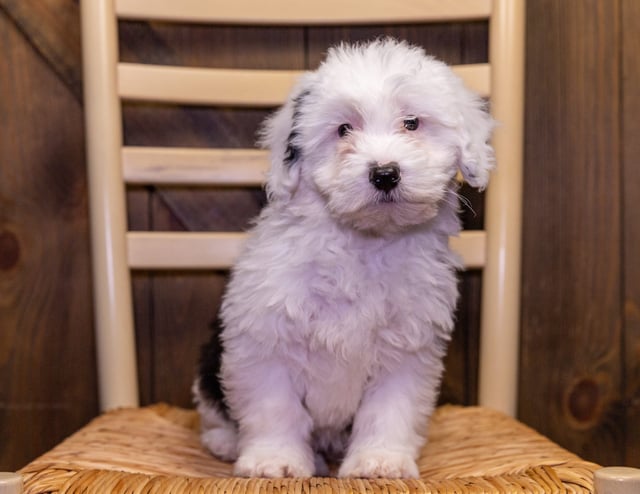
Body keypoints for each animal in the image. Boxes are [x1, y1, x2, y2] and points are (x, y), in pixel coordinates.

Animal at [195, 37, 496, 478]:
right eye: (343, 129)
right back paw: (224, 441)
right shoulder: (264, 339)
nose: (385, 173)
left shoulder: (407, 348)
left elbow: (390, 408)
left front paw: (380, 460)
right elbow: (274, 407)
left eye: (412, 123)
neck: (363, 244)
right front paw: (274, 460)